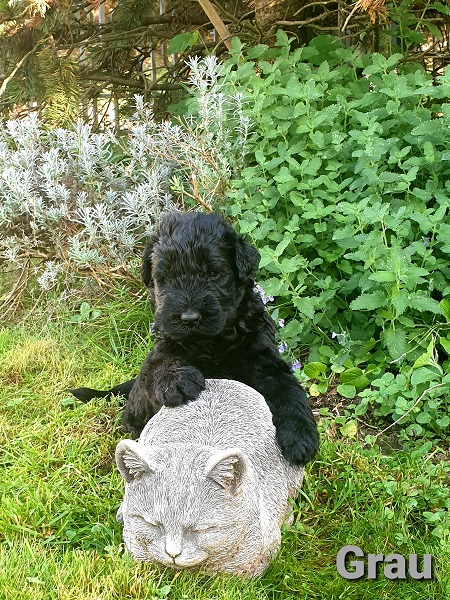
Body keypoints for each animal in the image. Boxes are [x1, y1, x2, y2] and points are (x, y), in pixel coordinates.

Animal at [72, 213, 318, 466]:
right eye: (165, 276)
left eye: (213, 273)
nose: (189, 318)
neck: (213, 342)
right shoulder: (163, 348)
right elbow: (159, 365)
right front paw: (177, 379)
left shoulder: (264, 360)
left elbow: (289, 389)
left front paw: (300, 436)